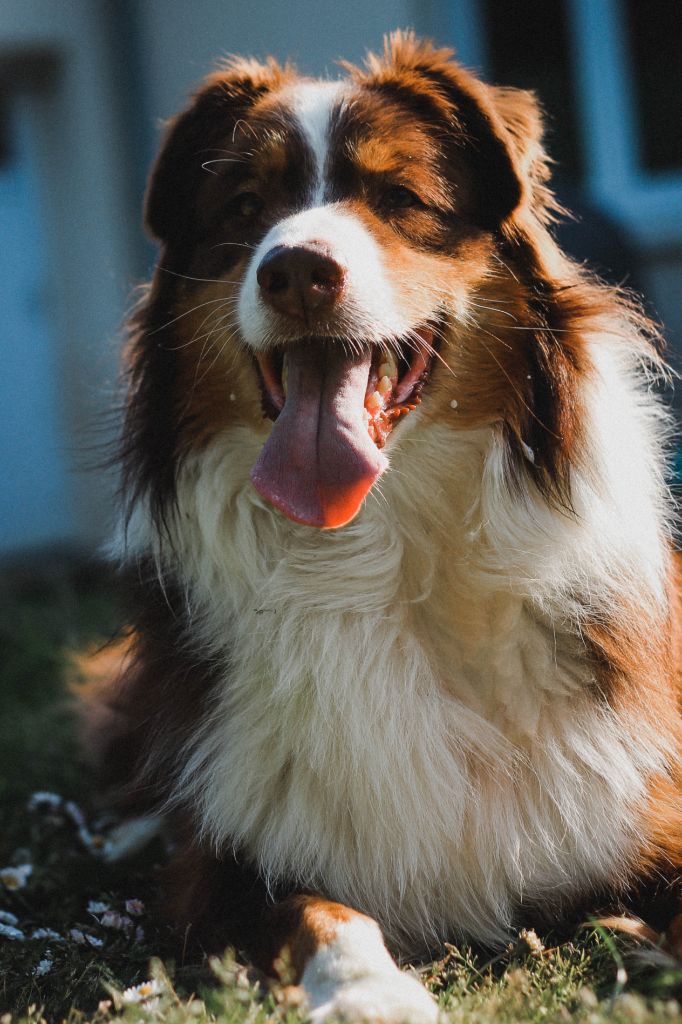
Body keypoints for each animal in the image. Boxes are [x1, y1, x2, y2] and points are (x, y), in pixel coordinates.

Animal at [95, 32, 679, 1024]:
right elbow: (320, 909)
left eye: (399, 198)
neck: (381, 547)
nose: (296, 270)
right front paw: (369, 991)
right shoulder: (230, 858)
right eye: (245, 207)